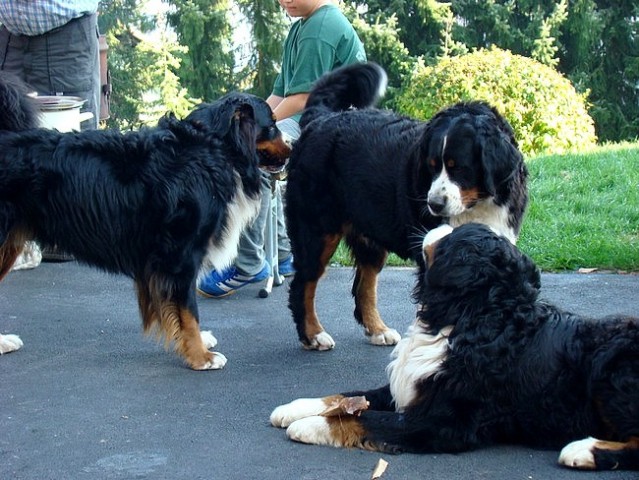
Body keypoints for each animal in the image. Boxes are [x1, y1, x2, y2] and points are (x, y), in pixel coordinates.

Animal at [0, 72, 290, 368]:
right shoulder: (181, 255)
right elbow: (188, 309)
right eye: (272, 126)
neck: (212, 149)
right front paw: (200, 355)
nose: (292, 145)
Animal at [272, 223, 639, 470]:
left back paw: (582, 450)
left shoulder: (441, 420)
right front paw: (295, 408)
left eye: (453, 236)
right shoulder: (412, 386)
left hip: (613, 370)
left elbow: (367, 419)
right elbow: (346, 398)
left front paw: (310, 425)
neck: (468, 316)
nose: (440, 222)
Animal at [284, 62, 528, 350]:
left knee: (364, 287)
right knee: (304, 284)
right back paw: (312, 334)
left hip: (369, 237)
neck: (478, 204)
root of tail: (321, 120)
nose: (433, 204)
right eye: (432, 166)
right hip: (317, 232)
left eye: (459, 167)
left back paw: (377, 329)